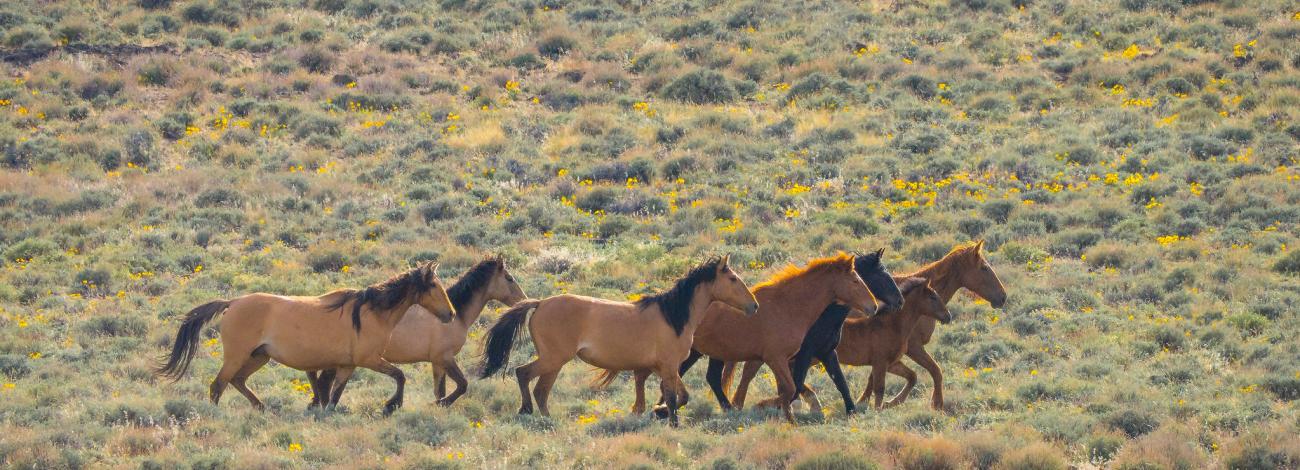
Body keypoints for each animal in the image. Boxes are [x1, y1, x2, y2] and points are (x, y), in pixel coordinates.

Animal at [156, 264, 454, 415]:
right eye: (434, 286)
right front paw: (392, 405)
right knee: (218, 385)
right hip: (237, 356)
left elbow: (334, 395)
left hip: (258, 356)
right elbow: (400, 375)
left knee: (237, 381)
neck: (370, 312)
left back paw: (261, 407)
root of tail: (233, 302)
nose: (450, 313)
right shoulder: (369, 360)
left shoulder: (347, 365)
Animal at [306, 257, 525, 407]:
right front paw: (440, 403)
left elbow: (440, 390)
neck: (458, 317)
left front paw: (439, 403)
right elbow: (462, 385)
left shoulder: (437, 362)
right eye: (509, 278)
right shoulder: (444, 358)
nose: (523, 300)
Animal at [483, 257, 759, 425]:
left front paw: (660, 413)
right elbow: (672, 397)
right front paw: (671, 422)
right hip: (553, 359)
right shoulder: (669, 366)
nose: (754, 306)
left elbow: (681, 396)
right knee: (523, 374)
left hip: (554, 362)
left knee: (540, 390)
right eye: (733, 279)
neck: (673, 317)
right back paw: (529, 412)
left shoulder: (663, 368)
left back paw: (546, 418)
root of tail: (540, 303)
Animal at [644, 253, 878, 423]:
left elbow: (797, 387)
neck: (788, 306)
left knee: (705, 378)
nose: (874, 306)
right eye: (855, 280)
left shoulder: (796, 357)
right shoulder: (777, 358)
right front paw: (776, 411)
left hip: (703, 353)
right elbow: (790, 388)